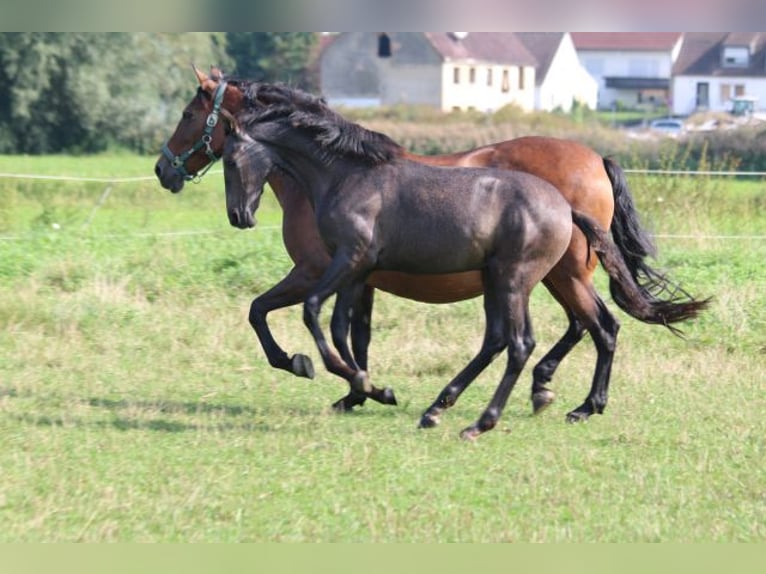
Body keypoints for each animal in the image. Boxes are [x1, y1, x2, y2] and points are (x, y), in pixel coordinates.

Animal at [156, 70, 712, 426]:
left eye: (187, 114)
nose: (164, 170)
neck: (339, 173)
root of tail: (596, 157)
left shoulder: (322, 268)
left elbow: (279, 313)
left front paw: (323, 373)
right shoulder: (359, 275)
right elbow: (348, 333)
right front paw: (364, 390)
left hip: (555, 274)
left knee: (590, 327)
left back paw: (556, 402)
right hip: (535, 278)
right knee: (577, 329)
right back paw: (548, 395)